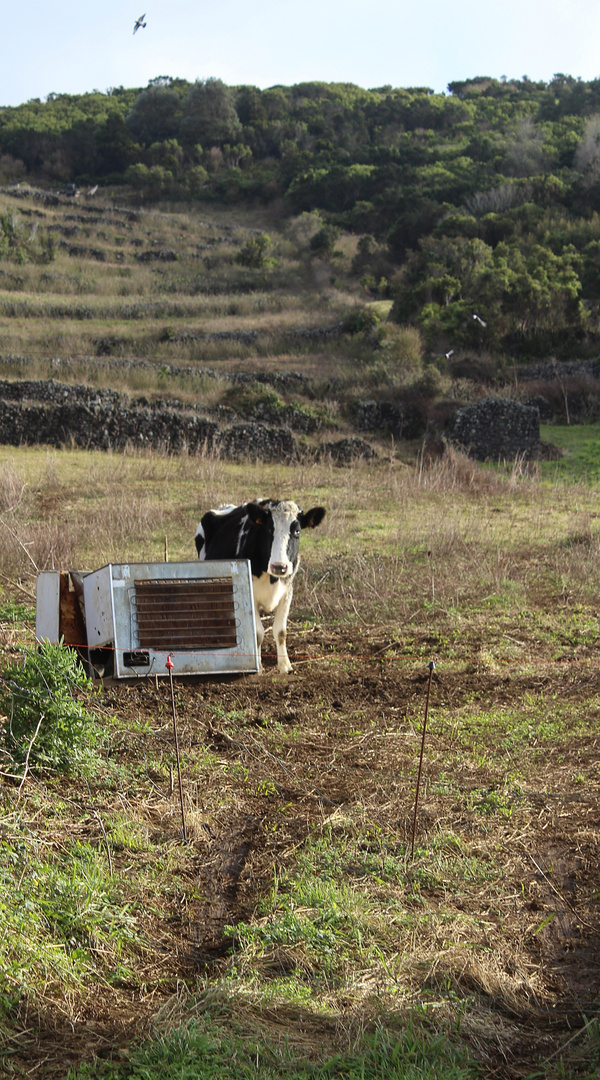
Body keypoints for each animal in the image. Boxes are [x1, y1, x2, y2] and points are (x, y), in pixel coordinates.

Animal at [195, 498, 325, 669]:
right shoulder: (252, 596)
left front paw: (285, 665)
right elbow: (257, 632)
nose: (279, 567)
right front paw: (259, 666)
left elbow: (281, 631)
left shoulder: (287, 591)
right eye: (269, 530)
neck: (272, 579)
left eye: (297, 531)